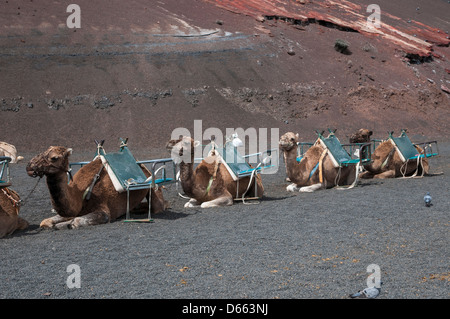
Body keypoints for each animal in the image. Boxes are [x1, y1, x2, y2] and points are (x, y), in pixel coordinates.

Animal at [27, 146, 170, 231]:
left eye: (54, 158)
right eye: (41, 152)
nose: (29, 166)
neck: (80, 194)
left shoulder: (103, 209)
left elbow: (76, 221)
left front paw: (62, 225)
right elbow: (45, 221)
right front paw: (53, 224)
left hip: (152, 187)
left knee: (159, 205)